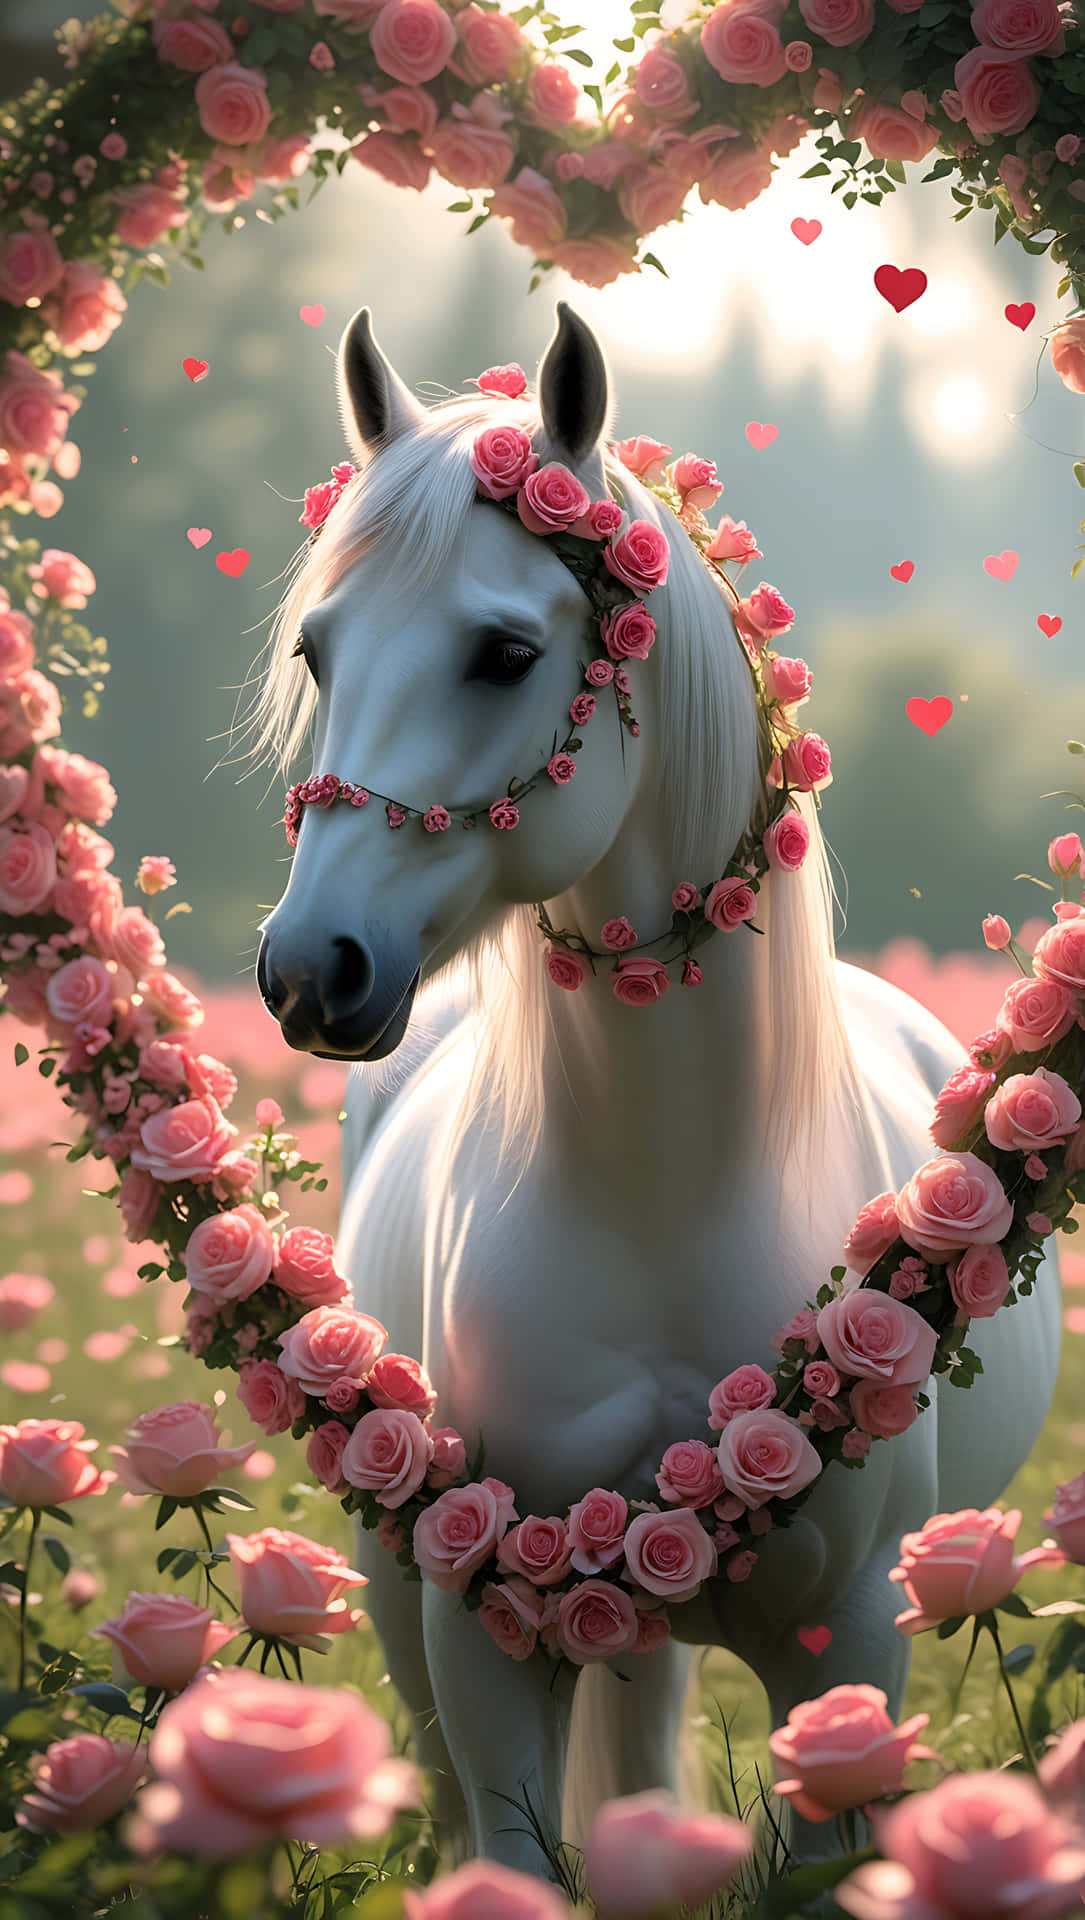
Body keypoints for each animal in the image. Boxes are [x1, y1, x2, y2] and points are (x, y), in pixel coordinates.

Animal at [252, 301, 1062, 1883]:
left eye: (506, 651)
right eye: (318, 652)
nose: (309, 972)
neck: (660, 1192)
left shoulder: (845, 1644)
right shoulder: (476, 1616)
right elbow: (507, 1862)